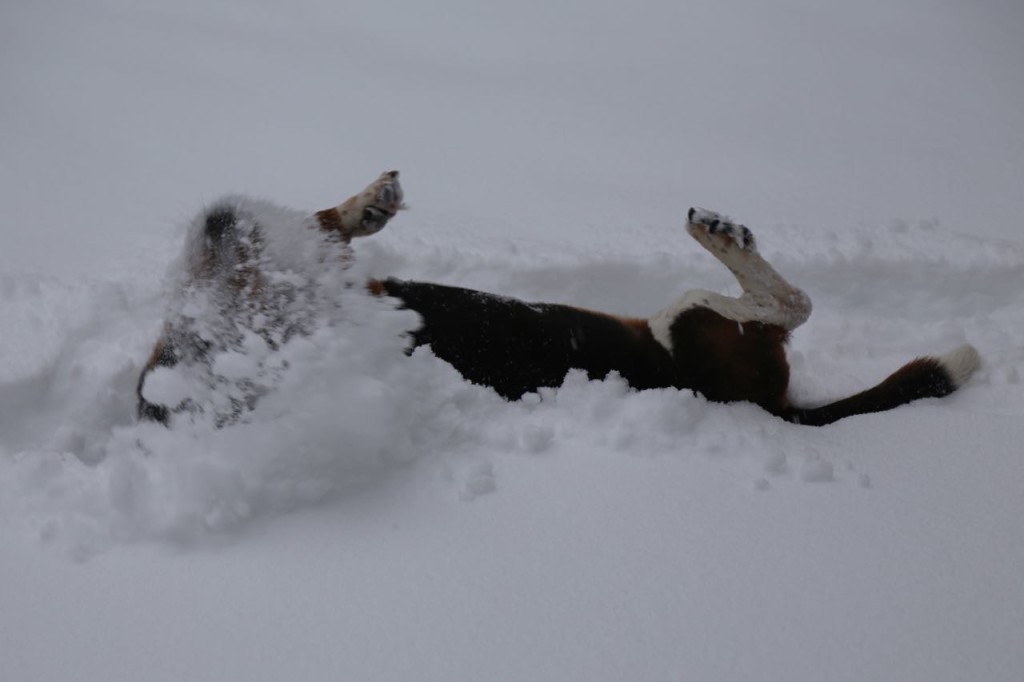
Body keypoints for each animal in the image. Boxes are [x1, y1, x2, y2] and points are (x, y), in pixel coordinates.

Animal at [136, 169, 974, 425]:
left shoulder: (346, 273)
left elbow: (327, 224)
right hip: (693, 326)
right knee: (786, 304)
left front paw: (371, 203)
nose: (216, 224)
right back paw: (720, 234)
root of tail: (774, 409)